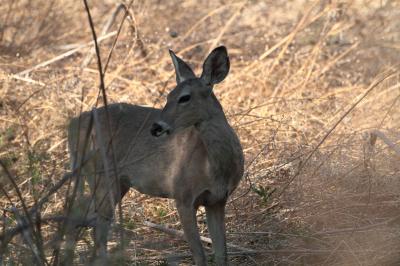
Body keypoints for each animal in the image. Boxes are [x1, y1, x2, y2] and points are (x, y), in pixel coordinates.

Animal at [67, 46, 244, 264]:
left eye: (184, 97)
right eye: (168, 96)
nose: (156, 127)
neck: (214, 168)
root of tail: (73, 124)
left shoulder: (217, 200)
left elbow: (221, 254)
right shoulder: (183, 196)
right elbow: (200, 255)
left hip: (114, 182)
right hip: (101, 177)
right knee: (95, 228)